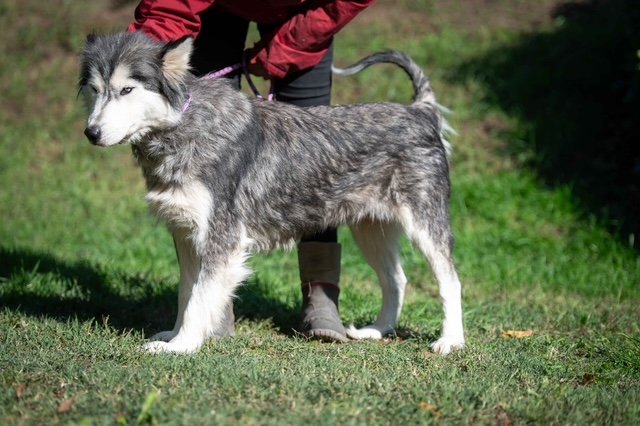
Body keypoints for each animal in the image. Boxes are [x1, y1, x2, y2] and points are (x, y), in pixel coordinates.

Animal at [79, 32, 465, 355]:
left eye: (127, 90)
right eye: (95, 90)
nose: (90, 133)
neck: (185, 126)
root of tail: (419, 111)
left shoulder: (222, 241)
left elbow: (199, 298)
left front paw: (181, 346)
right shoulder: (186, 236)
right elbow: (186, 292)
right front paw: (176, 336)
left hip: (425, 225)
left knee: (451, 281)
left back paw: (450, 341)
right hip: (371, 230)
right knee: (396, 279)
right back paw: (378, 330)